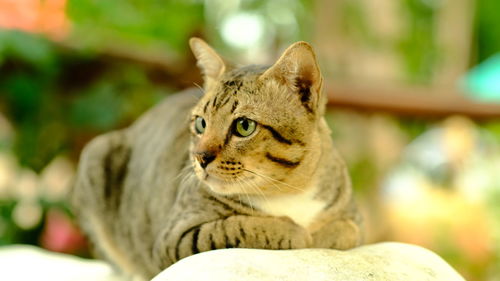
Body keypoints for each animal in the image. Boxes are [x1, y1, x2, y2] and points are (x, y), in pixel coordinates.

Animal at [71, 37, 364, 278]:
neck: (287, 192)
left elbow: (350, 230)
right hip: (96, 154)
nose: (201, 157)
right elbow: (234, 228)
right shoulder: (174, 237)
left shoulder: (354, 217)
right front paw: (296, 232)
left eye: (244, 126)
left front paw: (324, 233)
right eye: (201, 123)